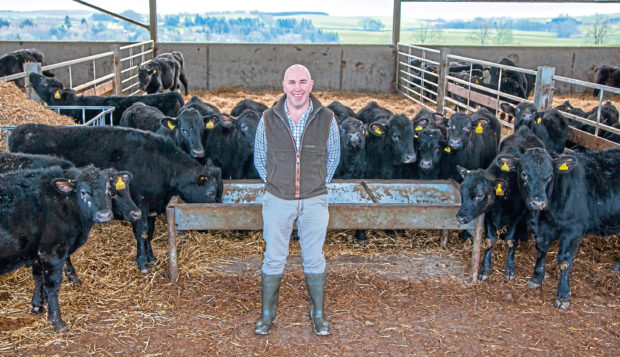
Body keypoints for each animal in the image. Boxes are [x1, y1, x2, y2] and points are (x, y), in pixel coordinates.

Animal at [0, 164, 113, 330]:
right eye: (83, 192)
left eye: (108, 190)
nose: (104, 215)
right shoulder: (52, 251)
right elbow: (52, 285)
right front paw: (57, 321)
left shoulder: (37, 251)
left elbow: (38, 277)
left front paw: (37, 306)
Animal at [9, 124, 223, 272]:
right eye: (211, 193)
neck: (160, 165)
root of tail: (22, 129)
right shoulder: (140, 204)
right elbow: (141, 232)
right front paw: (143, 263)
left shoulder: (151, 207)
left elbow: (149, 232)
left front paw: (152, 258)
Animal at [452, 125, 544, 280]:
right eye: (461, 191)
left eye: (480, 195)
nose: (460, 217)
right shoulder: (488, 214)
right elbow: (490, 240)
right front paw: (484, 269)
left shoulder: (518, 216)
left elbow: (511, 241)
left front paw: (510, 268)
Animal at [508, 147, 620, 308]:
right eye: (524, 174)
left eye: (550, 175)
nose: (538, 202)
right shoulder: (541, 230)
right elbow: (541, 251)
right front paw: (536, 278)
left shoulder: (574, 229)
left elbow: (564, 261)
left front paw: (563, 295)